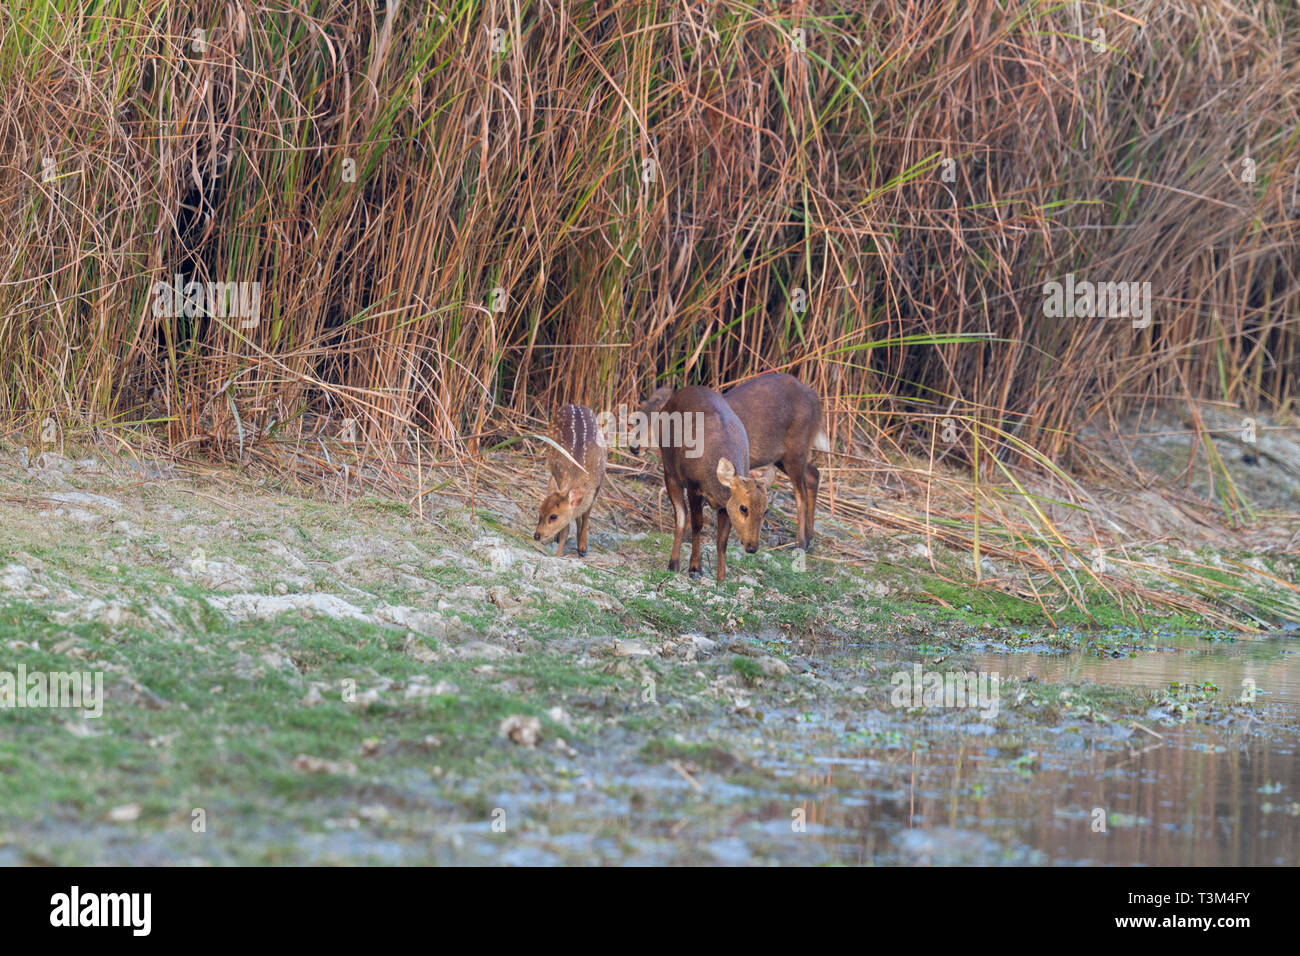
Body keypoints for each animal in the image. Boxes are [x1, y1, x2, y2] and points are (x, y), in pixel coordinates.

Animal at [530, 405, 605, 556]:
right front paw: (559, 552)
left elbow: (586, 514)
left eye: (553, 516)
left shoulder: (598, 483)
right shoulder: (559, 476)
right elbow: (566, 527)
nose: (537, 535)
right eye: (540, 510)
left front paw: (582, 546)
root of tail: (574, 405)